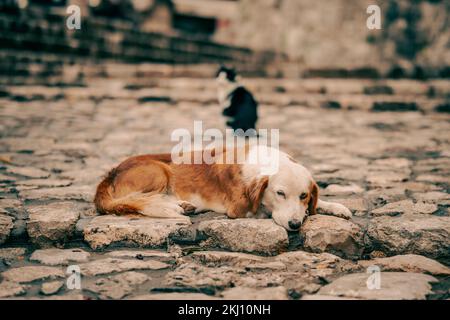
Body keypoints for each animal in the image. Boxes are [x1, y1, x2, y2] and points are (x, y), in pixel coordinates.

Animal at [95, 144, 354, 230]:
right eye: (280, 193)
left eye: (303, 195)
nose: (294, 225)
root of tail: (110, 174)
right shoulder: (237, 210)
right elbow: (261, 209)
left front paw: (335, 207)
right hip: (159, 171)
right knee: (138, 199)